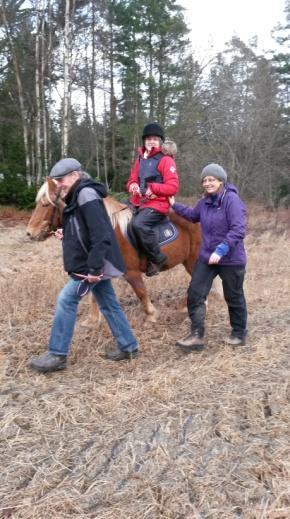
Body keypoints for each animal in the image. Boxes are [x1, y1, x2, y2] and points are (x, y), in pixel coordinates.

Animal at [26, 180, 201, 324]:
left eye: (45, 205)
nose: (29, 232)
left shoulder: (131, 272)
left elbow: (141, 292)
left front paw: (151, 315)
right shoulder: (98, 270)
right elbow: (94, 295)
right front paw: (92, 320)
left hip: (193, 261)